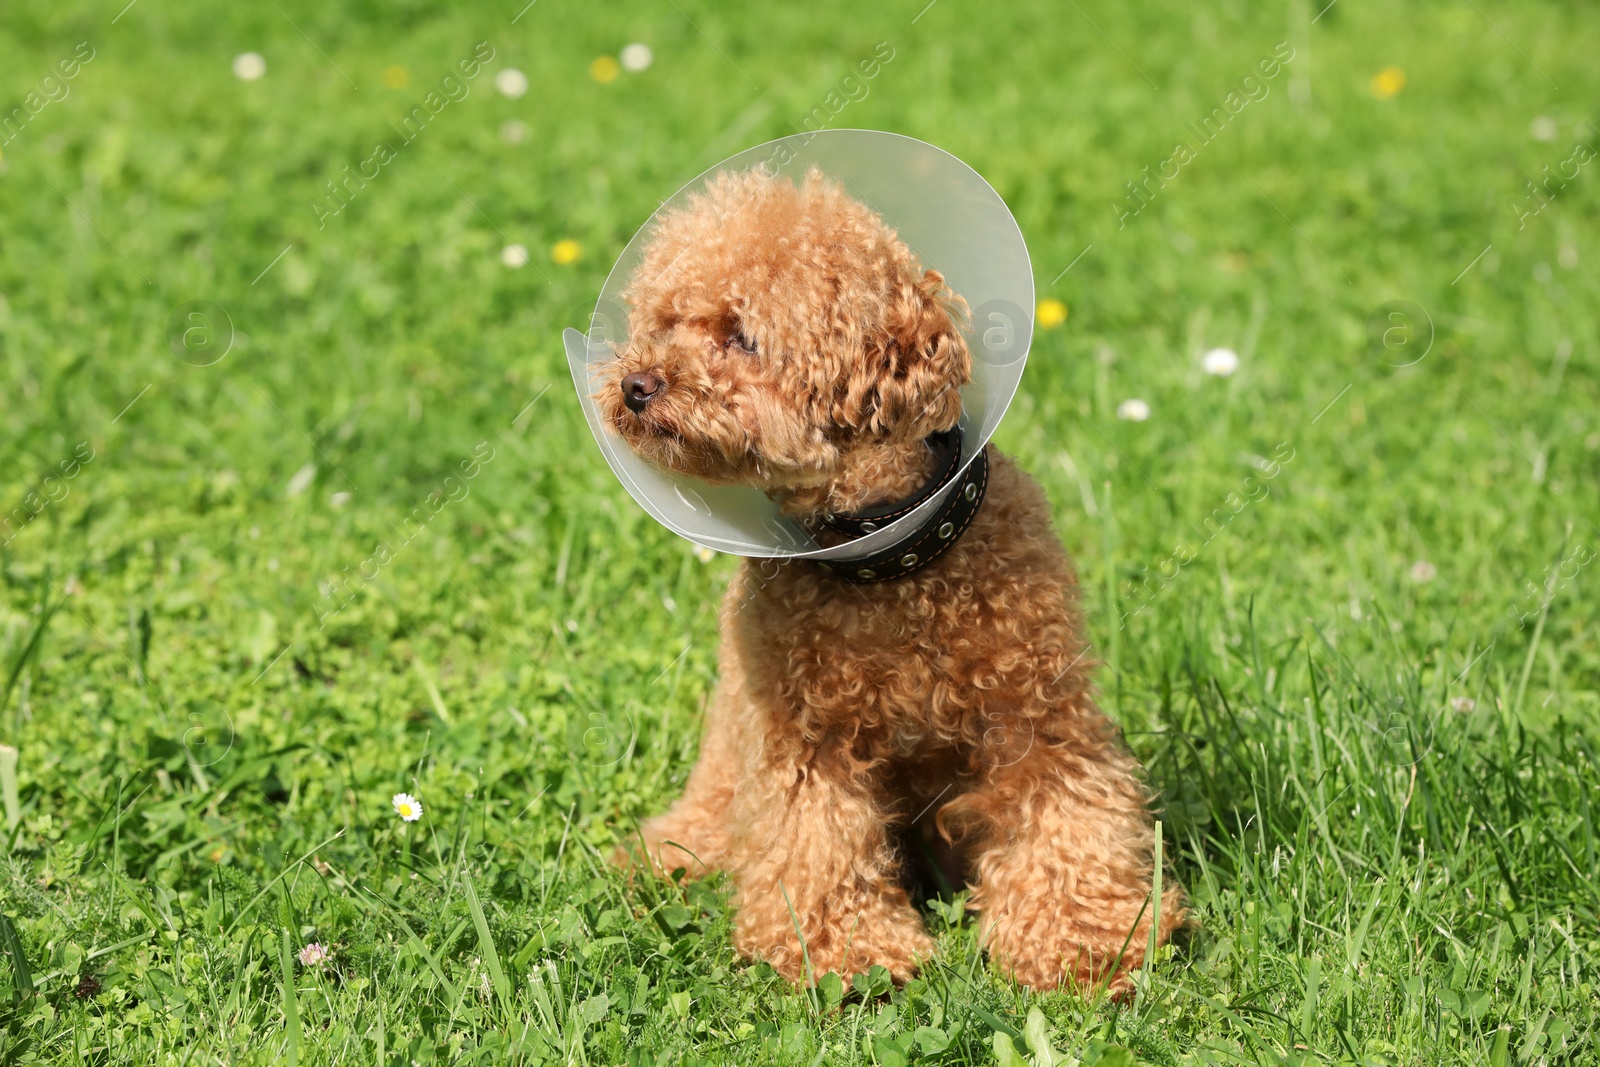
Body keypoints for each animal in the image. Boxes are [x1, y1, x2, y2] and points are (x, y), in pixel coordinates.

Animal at [601, 164, 1190, 991]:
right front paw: (846, 955)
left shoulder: (1038, 720)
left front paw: (1088, 945)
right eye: (661, 323)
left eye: (741, 336)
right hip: (727, 758)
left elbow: (1065, 820)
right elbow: (815, 843)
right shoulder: (804, 745)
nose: (635, 384)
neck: (891, 564)